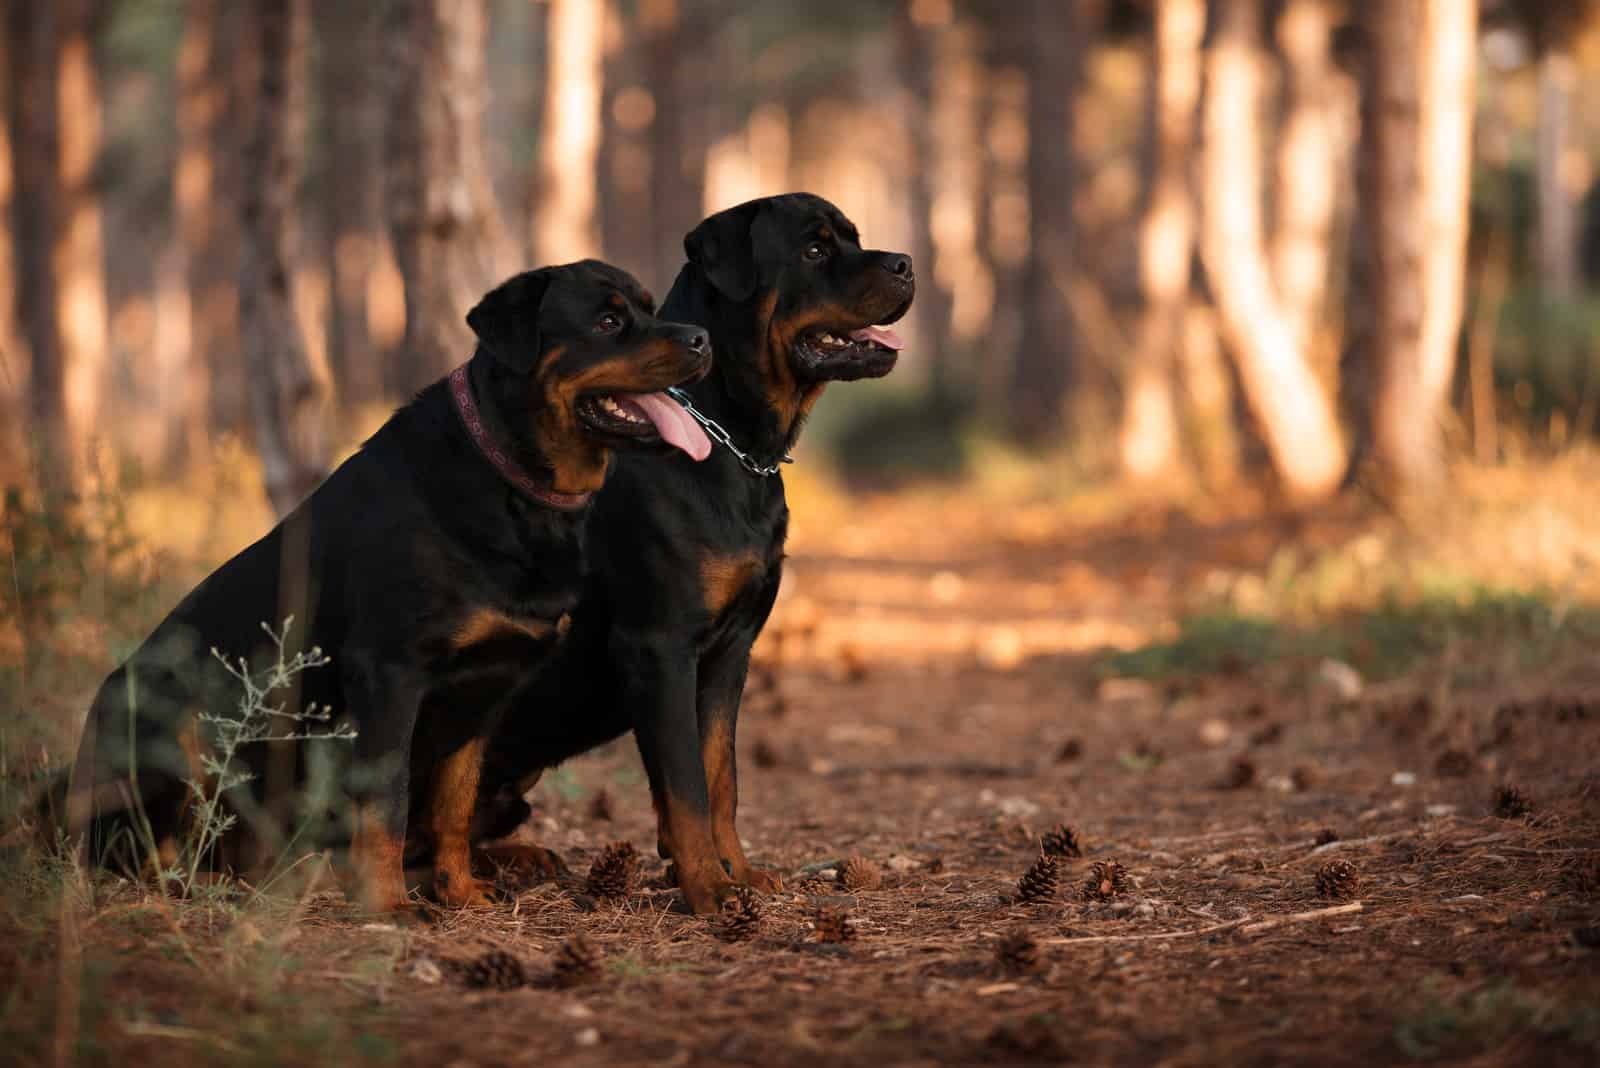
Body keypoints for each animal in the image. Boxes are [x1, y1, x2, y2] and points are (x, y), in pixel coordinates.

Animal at [58, 260, 713, 908]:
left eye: (650, 308)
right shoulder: (389, 672)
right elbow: (387, 799)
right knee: (142, 846)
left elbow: (452, 802)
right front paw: (389, 907)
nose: (701, 338)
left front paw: (460, 893)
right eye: (608, 322)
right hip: (172, 720)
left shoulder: (487, 689)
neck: (514, 481)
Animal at [467, 191, 915, 908]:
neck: (731, 440)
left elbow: (720, 774)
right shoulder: (661, 645)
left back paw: (523, 859)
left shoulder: (731, 651)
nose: (904, 263)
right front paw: (707, 886)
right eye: (815, 248)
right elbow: (684, 784)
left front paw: (736, 870)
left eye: (854, 237)